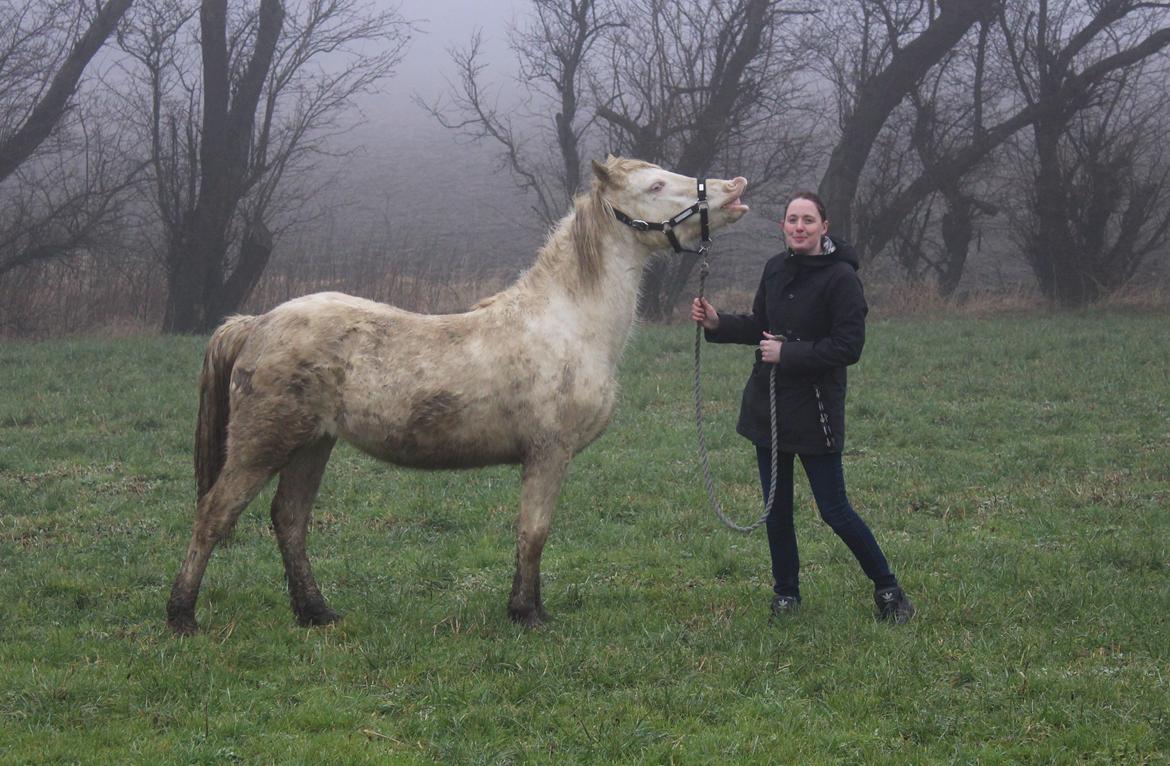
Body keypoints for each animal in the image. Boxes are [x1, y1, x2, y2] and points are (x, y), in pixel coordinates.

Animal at [164, 155, 748, 636]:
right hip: (262, 446)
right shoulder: (549, 453)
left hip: (312, 445)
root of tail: (256, 323)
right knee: (214, 515)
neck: (567, 322)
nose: (734, 188)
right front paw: (528, 614)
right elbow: (534, 532)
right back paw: (182, 617)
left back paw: (316, 613)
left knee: (289, 520)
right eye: (656, 184)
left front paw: (525, 608)